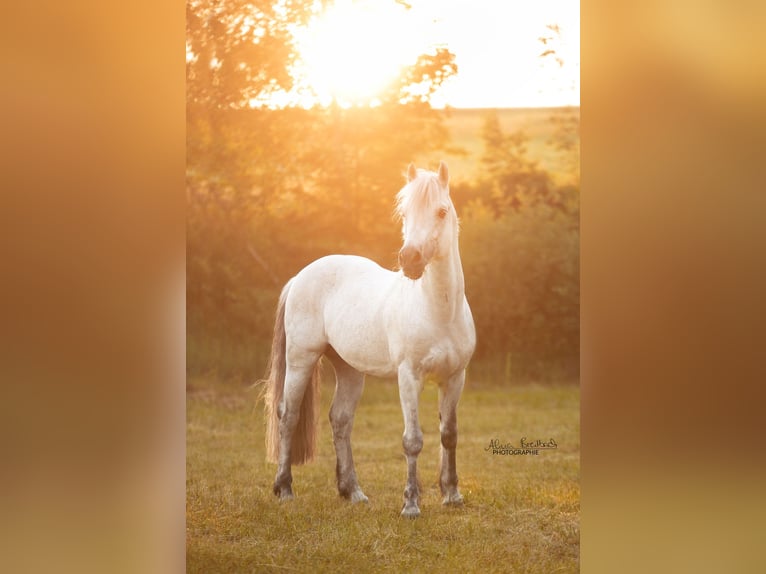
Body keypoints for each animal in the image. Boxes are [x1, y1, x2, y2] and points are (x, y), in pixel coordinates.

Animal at [268, 163, 476, 520]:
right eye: (405, 212)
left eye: (441, 211)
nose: (410, 259)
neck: (439, 312)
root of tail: (300, 276)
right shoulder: (409, 378)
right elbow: (412, 440)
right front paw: (411, 505)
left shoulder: (454, 378)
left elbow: (449, 434)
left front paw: (452, 494)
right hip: (300, 359)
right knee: (288, 416)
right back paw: (285, 490)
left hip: (349, 369)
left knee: (340, 420)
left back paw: (352, 492)